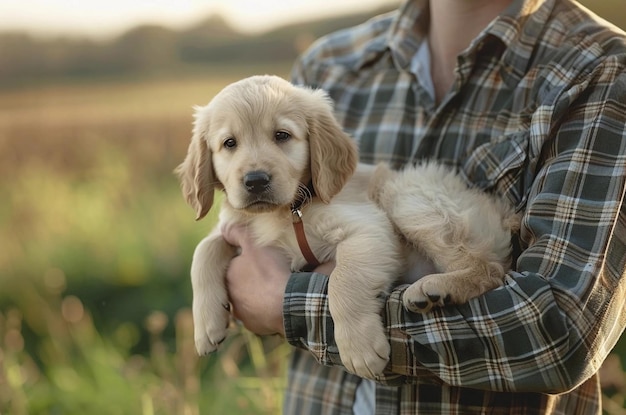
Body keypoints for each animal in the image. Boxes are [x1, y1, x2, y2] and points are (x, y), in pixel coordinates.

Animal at [176, 75, 516, 380]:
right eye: (229, 143)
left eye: (282, 136)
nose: (256, 181)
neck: (289, 211)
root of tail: (500, 210)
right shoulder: (235, 226)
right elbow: (203, 250)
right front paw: (206, 326)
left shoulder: (370, 228)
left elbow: (343, 280)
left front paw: (360, 349)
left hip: (404, 194)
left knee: (489, 267)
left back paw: (436, 289)